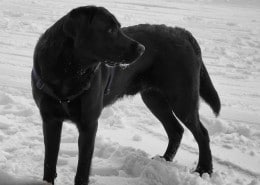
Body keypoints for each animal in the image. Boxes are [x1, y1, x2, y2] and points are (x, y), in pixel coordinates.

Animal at [31, 5, 220, 185]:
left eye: (119, 28)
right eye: (110, 30)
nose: (142, 49)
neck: (68, 71)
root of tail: (183, 33)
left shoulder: (89, 123)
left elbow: (82, 170)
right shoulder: (50, 119)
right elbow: (49, 161)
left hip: (182, 98)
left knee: (202, 133)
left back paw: (204, 169)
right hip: (154, 98)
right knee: (176, 130)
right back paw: (164, 160)